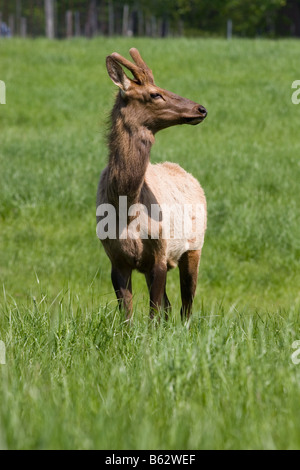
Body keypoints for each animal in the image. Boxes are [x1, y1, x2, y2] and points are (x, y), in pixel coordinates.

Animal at [96, 46, 206, 320]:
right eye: (155, 93)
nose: (201, 108)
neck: (126, 208)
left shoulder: (159, 252)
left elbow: (154, 313)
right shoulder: (116, 258)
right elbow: (127, 314)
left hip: (194, 246)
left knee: (186, 306)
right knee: (171, 306)